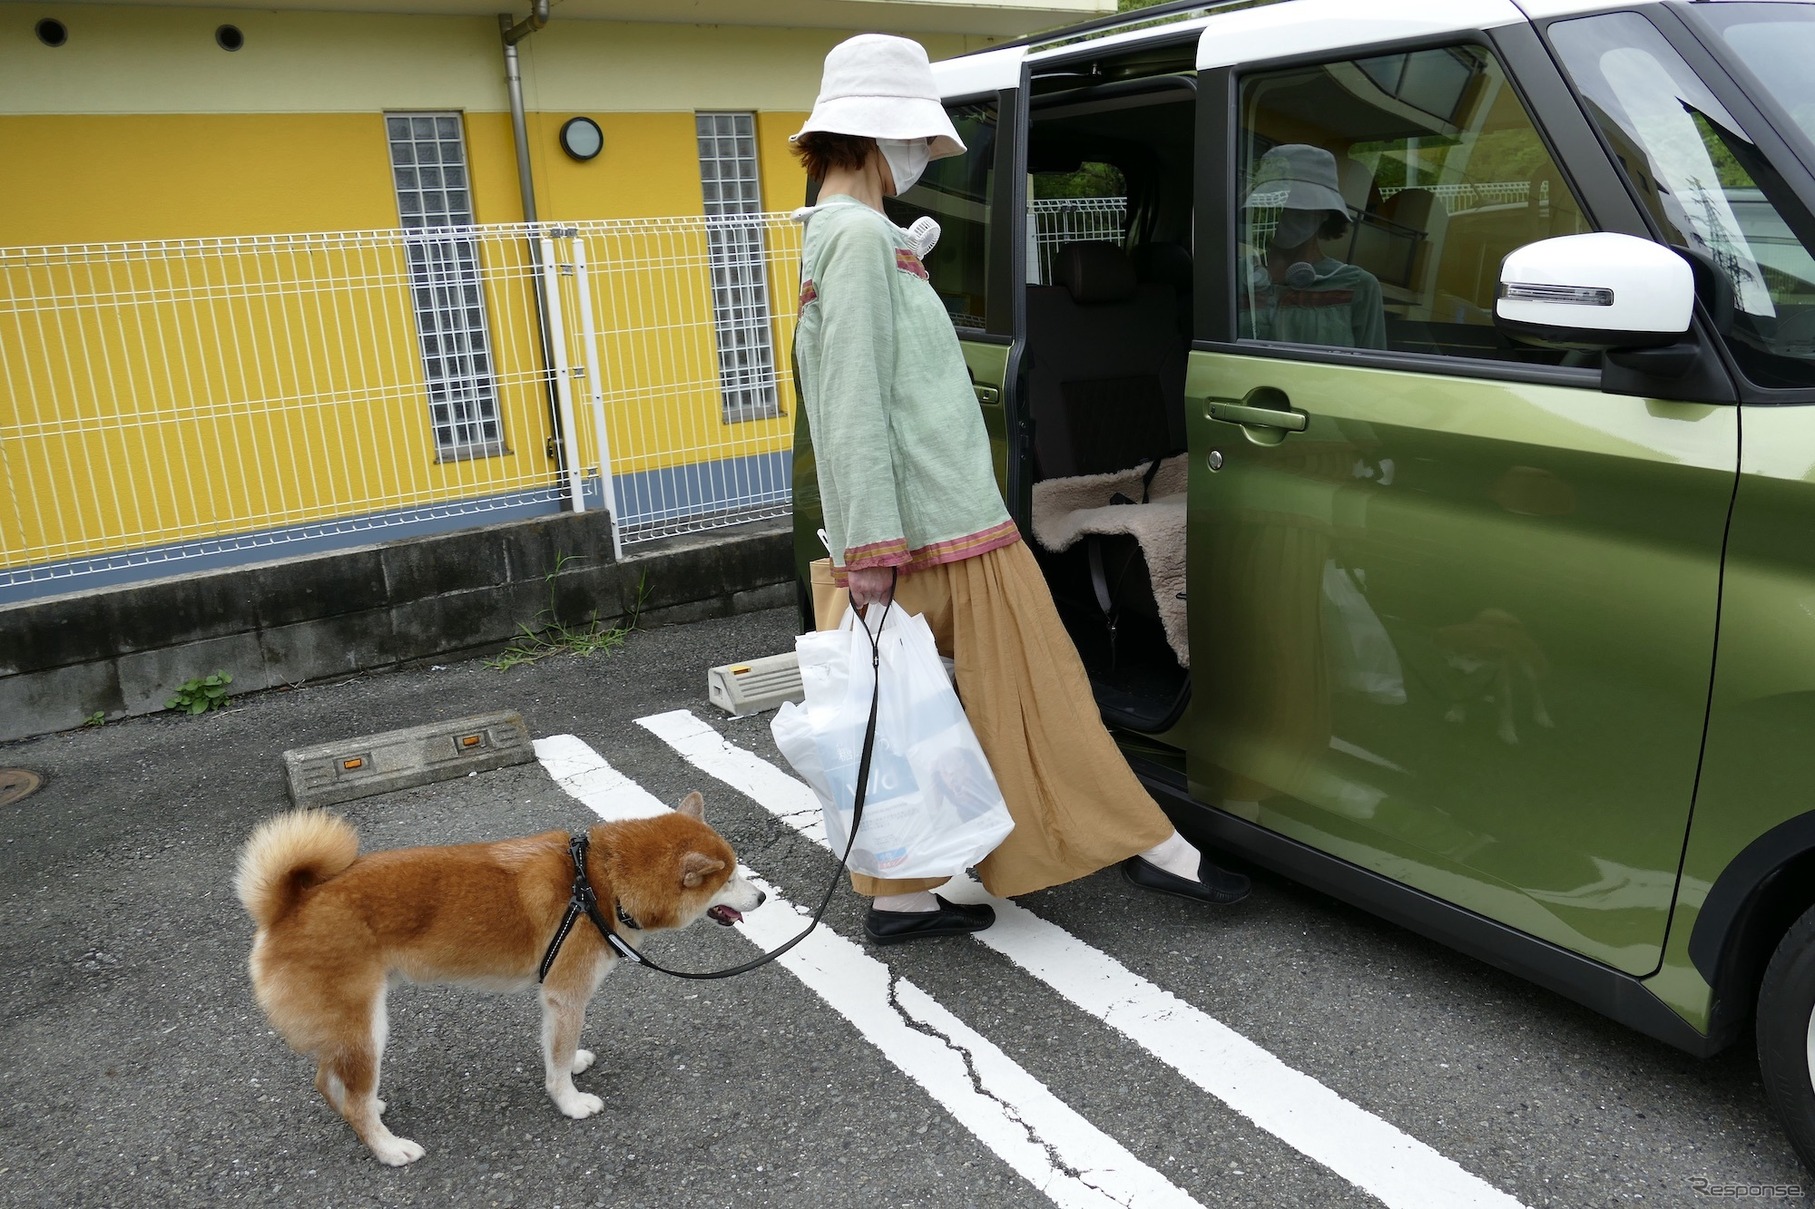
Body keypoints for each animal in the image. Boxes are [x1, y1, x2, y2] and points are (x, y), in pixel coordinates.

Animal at [234, 787, 758, 1161]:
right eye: (730, 878)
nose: (763, 896)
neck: (599, 883)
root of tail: (288, 906)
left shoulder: (554, 998)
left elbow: (556, 1053)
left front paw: (571, 1066)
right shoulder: (567, 994)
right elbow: (558, 1064)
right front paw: (570, 1103)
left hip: (348, 1028)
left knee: (328, 1081)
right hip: (366, 1027)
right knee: (351, 1099)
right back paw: (388, 1147)